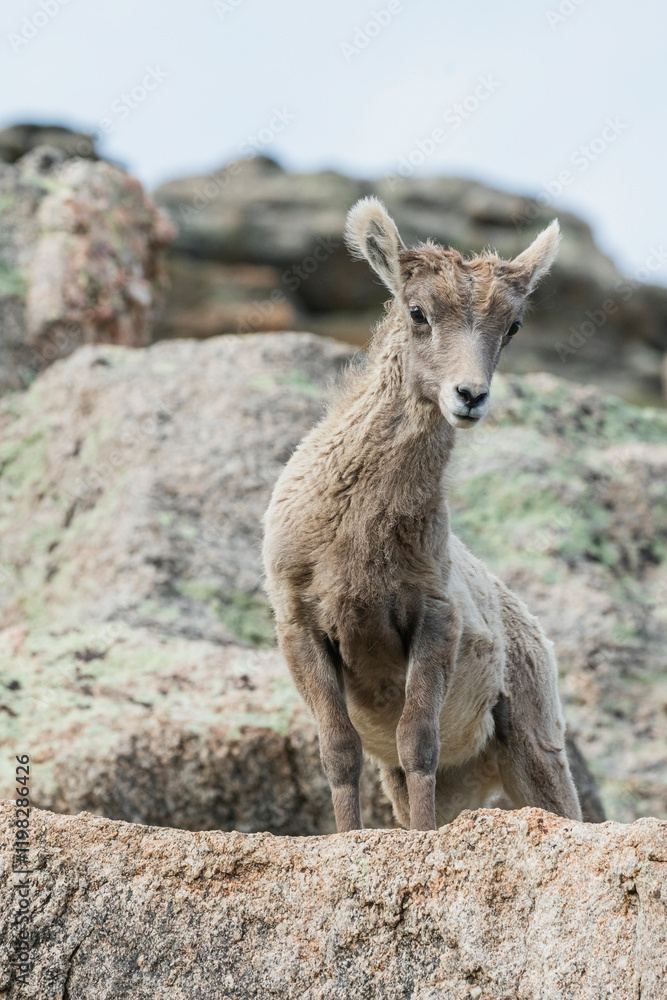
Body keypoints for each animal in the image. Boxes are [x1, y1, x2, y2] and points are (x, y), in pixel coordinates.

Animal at [262, 198, 582, 831]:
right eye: (418, 312)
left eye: (512, 326)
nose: (469, 396)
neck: (358, 539)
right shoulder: (302, 627)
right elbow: (339, 751)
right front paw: (348, 837)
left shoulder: (432, 623)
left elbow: (418, 742)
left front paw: (425, 838)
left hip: (535, 747)